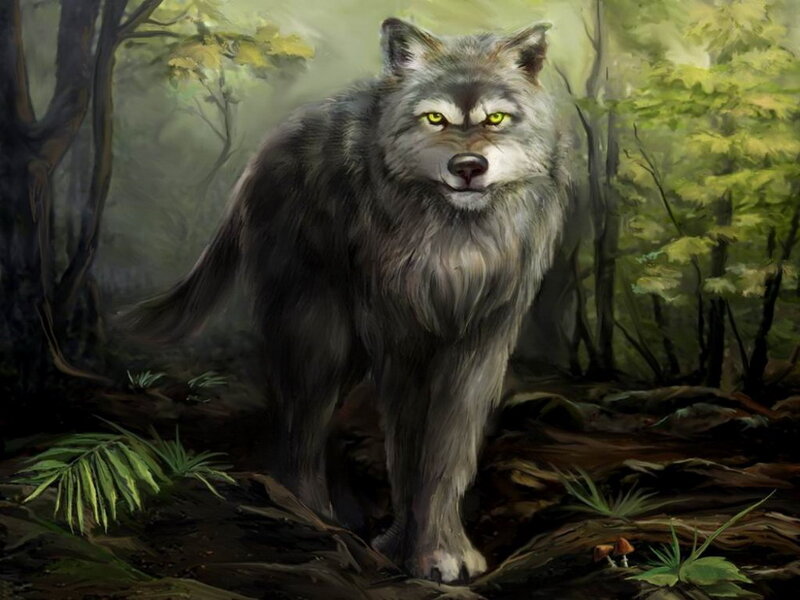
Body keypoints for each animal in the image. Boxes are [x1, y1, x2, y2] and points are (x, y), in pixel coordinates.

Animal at [124, 18, 569, 582]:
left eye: (495, 118)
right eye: (435, 118)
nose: (468, 165)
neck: (458, 242)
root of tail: (265, 151)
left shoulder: (478, 346)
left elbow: (447, 454)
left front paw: (446, 551)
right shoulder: (400, 342)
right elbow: (407, 453)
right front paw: (410, 552)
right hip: (321, 337)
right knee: (300, 424)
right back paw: (311, 516)